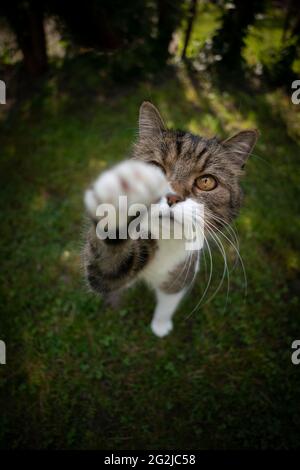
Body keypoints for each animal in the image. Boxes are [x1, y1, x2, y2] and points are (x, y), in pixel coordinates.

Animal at [82, 102, 258, 338]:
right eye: (155, 168)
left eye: (206, 181)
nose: (172, 196)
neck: (165, 242)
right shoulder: (110, 270)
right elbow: (108, 268)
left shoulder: (183, 271)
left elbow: (169, 300)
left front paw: (160, 326)